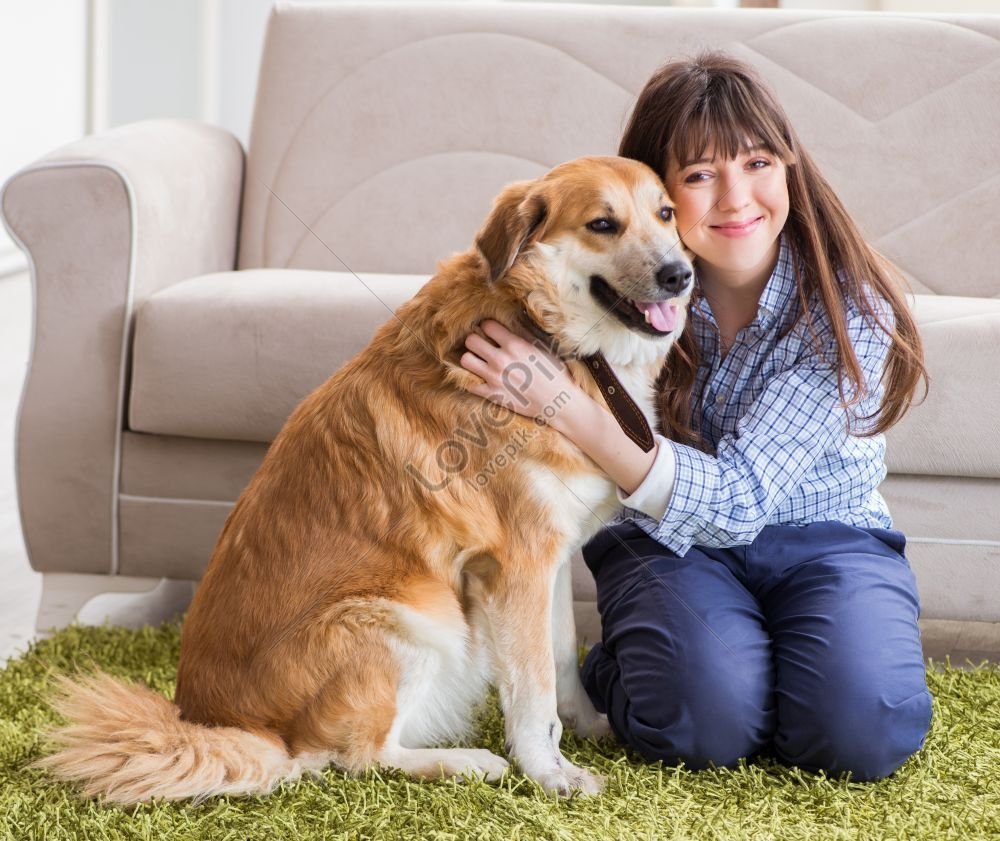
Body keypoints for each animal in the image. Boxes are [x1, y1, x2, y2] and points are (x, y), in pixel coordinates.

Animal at [35, 154, 692, 804]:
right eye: (603, 224)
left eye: (666, 213)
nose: (680, 275)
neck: (545, 332)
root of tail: (231, 724)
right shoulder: (517, 565)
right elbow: (531, 694)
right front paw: (549, 772)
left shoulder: (548, 561)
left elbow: (557, 663)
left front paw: (586, 728)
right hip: (410, 619)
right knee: (354, 757)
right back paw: (466, 763)